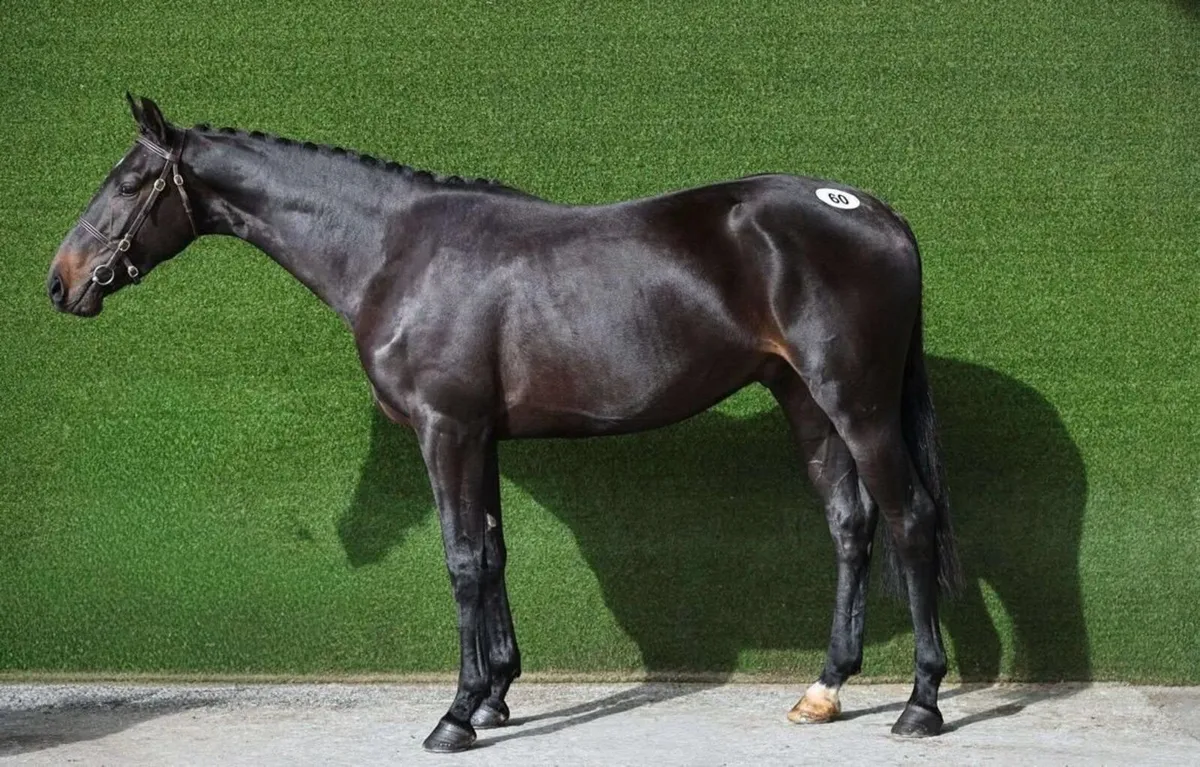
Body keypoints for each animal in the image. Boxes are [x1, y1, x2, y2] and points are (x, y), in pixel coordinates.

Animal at [48, 95, 962, 752]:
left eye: (126, 183)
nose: (62, 282)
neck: (395, 250)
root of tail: (877, 212)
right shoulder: (477, 435)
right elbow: (491, 552)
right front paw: (494, 696)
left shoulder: (445, 428)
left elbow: (459, 560)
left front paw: (455, 716)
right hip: (805, 400)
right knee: (849, 524)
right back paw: (825, 689)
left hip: (858, 404)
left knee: (911, 518)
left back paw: (920, 702)